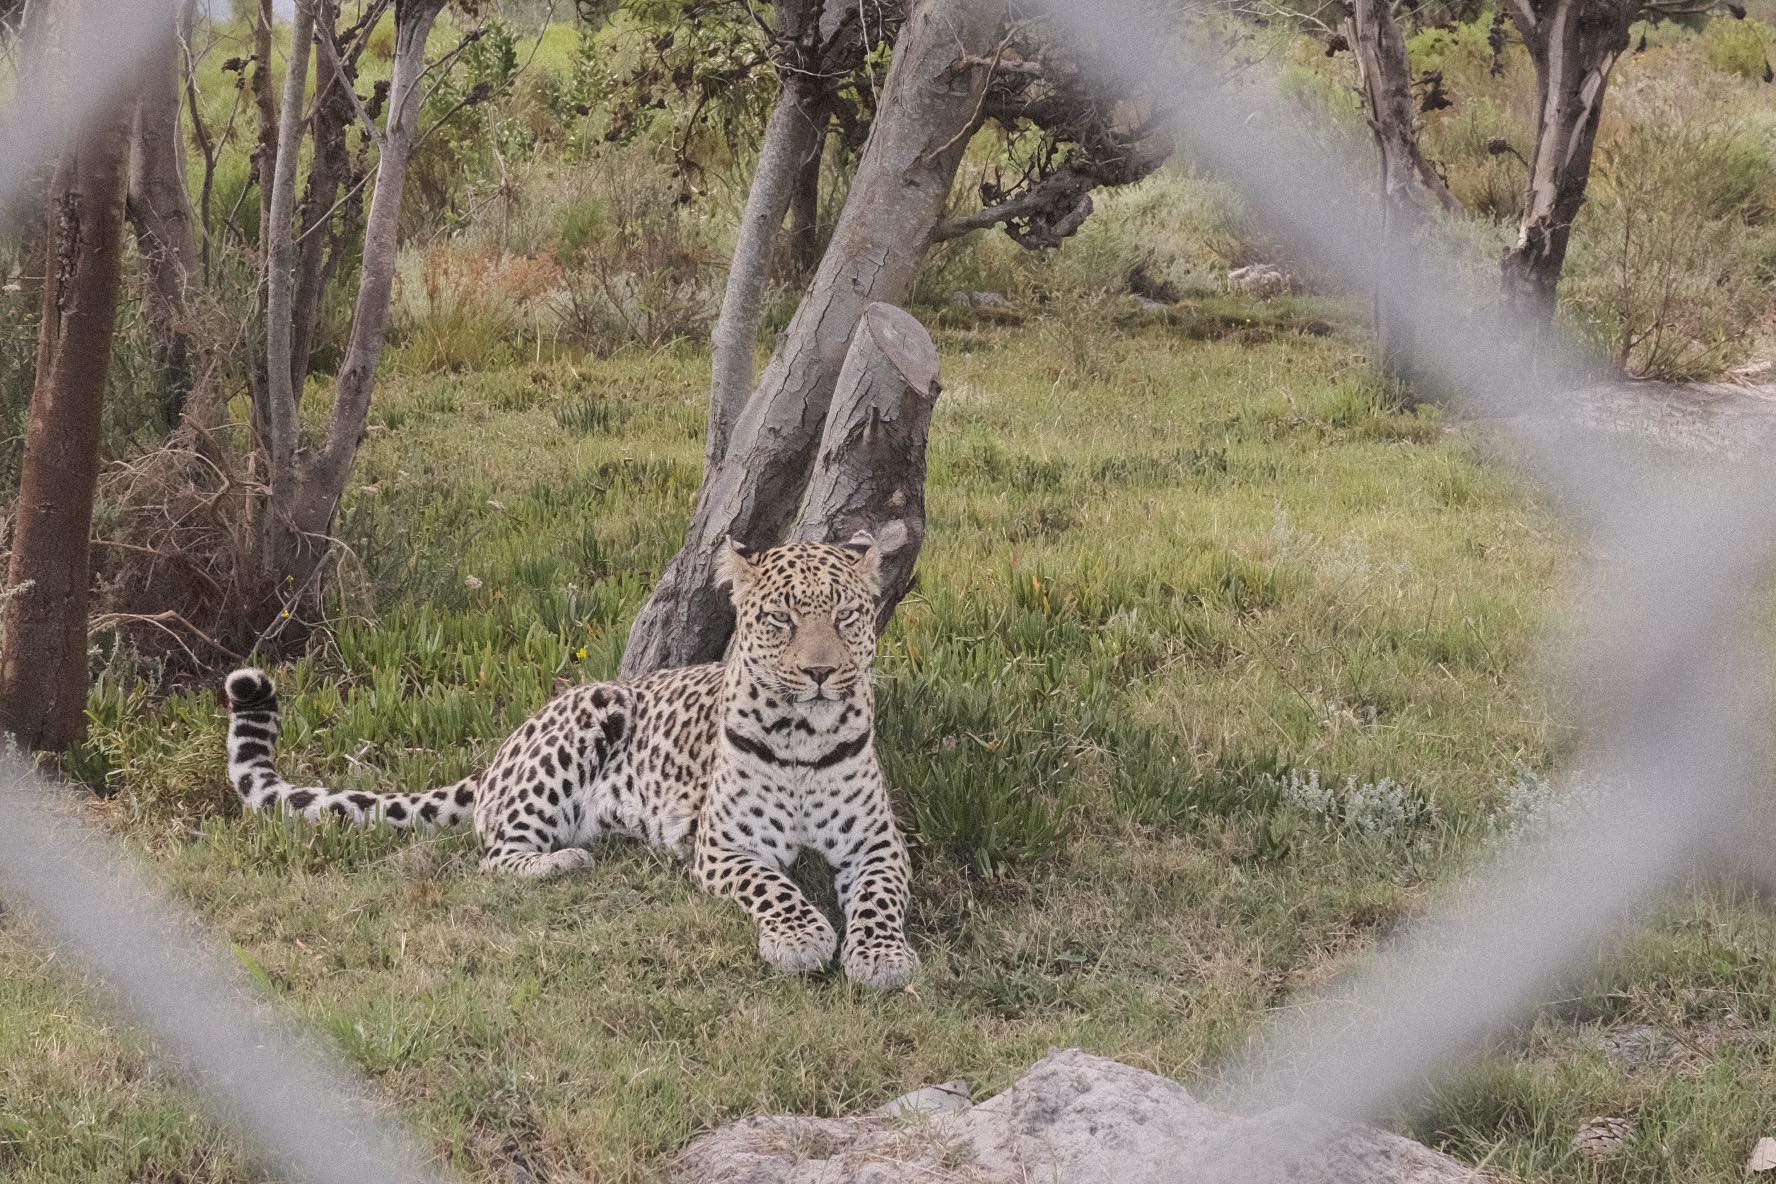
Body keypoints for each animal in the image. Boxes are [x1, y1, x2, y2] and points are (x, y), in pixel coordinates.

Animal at [223, 536, 923, 994]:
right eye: (781, 619)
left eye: (846, 616)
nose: (821, 673)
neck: (804, 737)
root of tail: (498, 753)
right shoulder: (725, 846)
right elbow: (774, 887)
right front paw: (801, 940)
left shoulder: (878, 844)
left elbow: (880, 897)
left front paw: (882, 956)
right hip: (590, 712)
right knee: (494, 856)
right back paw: (563, 862)